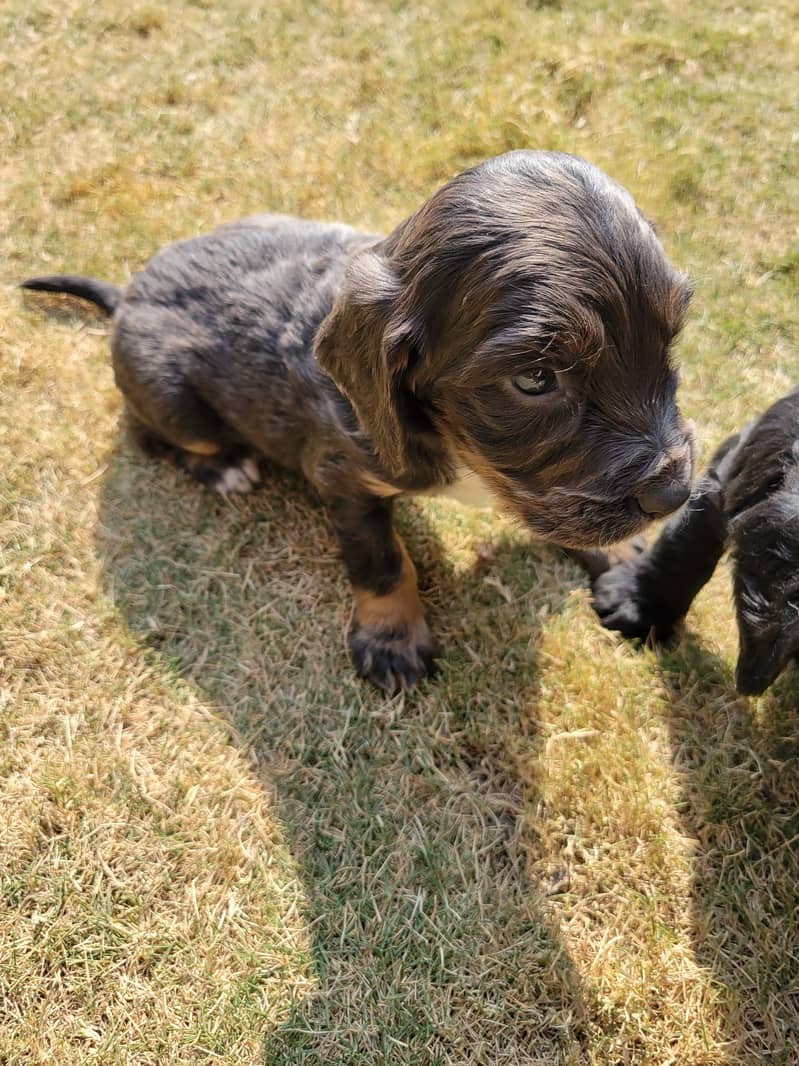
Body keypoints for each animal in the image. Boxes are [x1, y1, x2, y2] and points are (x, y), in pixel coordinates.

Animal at [23, 152, 694, 699]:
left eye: (669, 340)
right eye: (535, 379)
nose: (675, 493)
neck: (453, 445)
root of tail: (127, 293)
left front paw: (618, 550)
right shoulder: (343, 476)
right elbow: (383, 560)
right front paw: (392, 638)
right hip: (172, 401)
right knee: (156, 437)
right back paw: (225, 468)